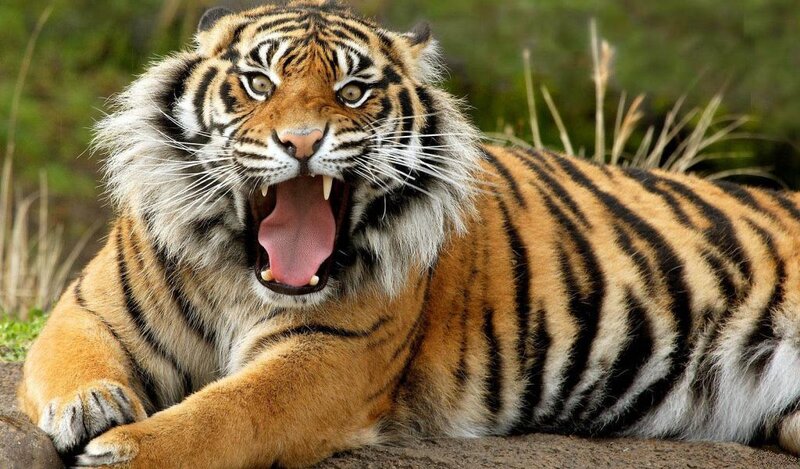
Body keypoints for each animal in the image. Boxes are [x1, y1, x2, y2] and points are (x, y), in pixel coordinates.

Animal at [16, 1, 800, 467]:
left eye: (353, 91)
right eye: (260, 84)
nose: (303, 142)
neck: (239, 271)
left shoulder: (328, 356)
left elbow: (227, 412)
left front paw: (124, 449)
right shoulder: (88, 308)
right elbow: (70, 358)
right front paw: (92, 406)